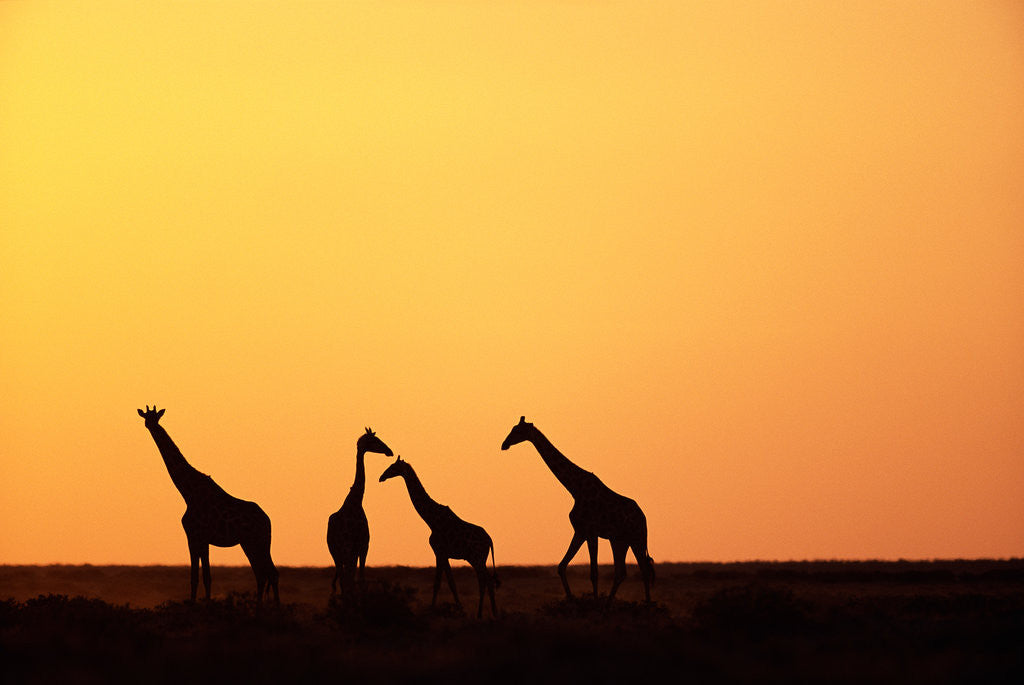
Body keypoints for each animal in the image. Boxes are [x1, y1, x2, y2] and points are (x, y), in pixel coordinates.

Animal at [137, 406, 279, 603]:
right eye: (147, 417)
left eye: (155, 417)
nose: (149, 425)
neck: (188, 493)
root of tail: (268, 520)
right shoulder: (201, 539)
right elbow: (204, 576)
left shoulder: (195, 536)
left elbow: (198, 577)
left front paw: (198, 605)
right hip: (253, 542)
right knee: (263, 574)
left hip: (257, 541)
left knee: (269, 573)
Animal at [326, 427, 393, 595]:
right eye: (375, 440)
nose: (389, 451)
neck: (355, 503)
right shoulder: (357, 546)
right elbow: (355, 580)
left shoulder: (359, 548)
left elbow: (357, 579)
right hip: (340, 551)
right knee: (345, 579)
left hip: (341, 553)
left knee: (345, 578)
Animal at [378, 456, 499, 618]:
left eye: (393, 467)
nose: (381, 477)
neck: (431, 520)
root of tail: (489, 540)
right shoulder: (443, 554)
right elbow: (450, 582)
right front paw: (458, 609)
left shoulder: (439, 551)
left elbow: (439, 583)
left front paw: (435, 610)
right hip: (477, 559)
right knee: (485, 581)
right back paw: (489, 614)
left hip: (477, 558)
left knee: (486, 581)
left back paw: (486, 615)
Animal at [501, 416, 654, 602]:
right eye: (512, 428)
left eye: (518, 431)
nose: (504, 444)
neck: (575, 489)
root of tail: (643, 517)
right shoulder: (580, 531)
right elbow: (561, 566)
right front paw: (571, 599)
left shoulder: (591, 531)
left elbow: (594, 573)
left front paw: (594, 602)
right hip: (619, 540)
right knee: (621, 572)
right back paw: (610, 602)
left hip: (637, 538)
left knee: (644, 569)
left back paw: (647, 604)